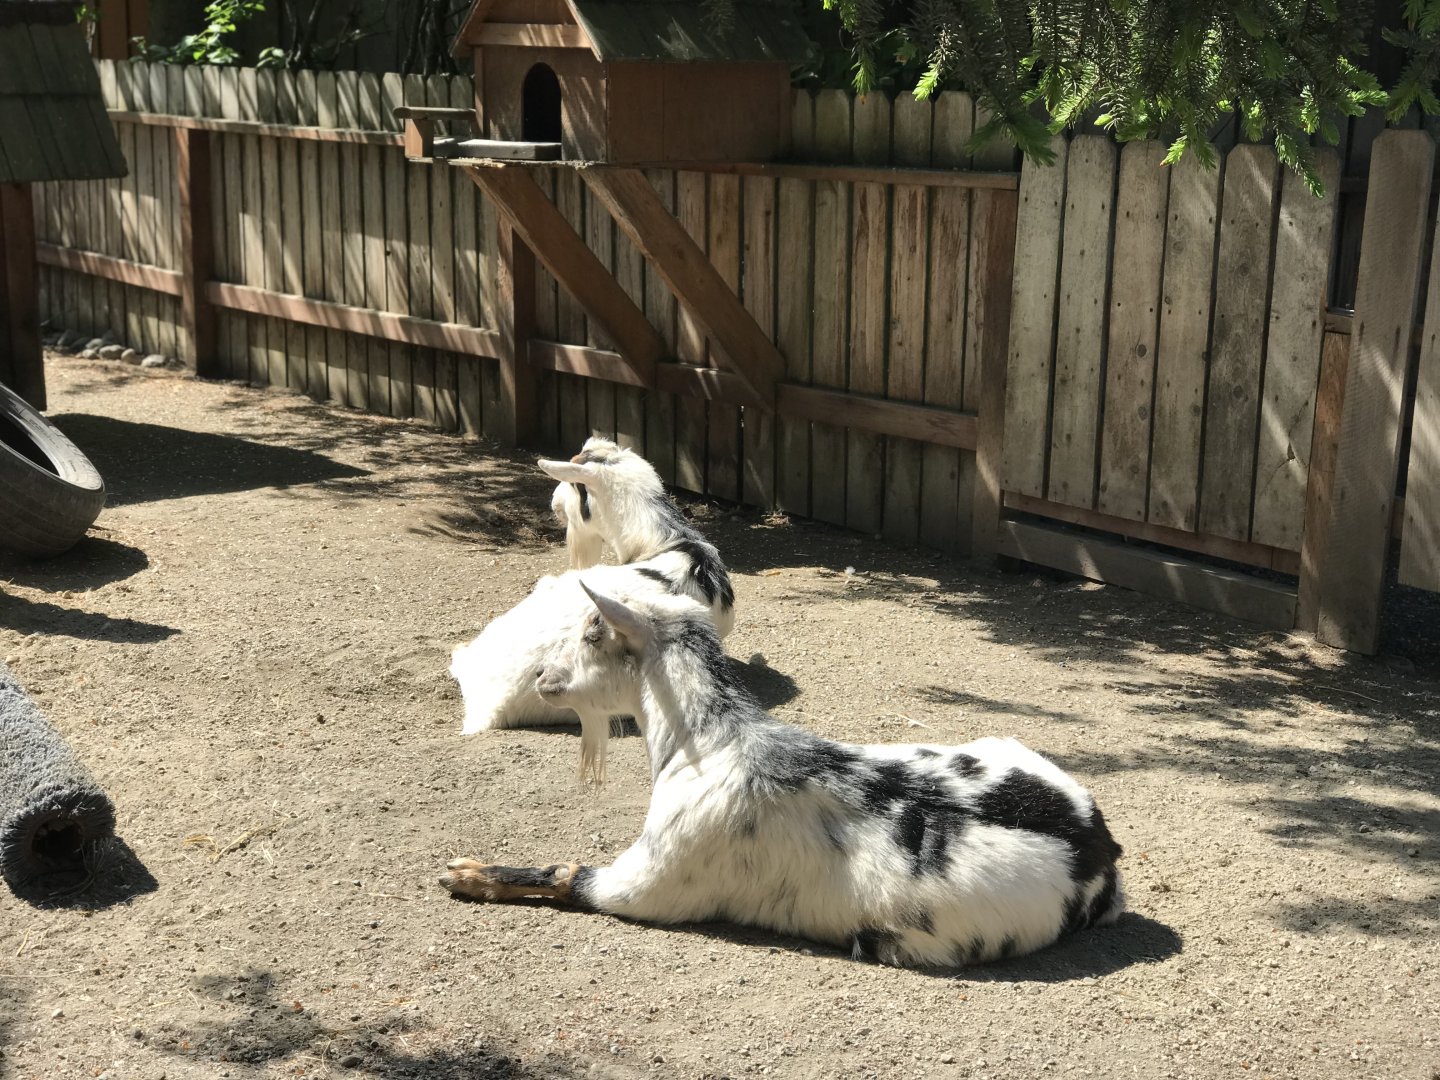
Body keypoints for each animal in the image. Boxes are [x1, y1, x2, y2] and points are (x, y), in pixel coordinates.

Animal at [441, 585, 1127, 968]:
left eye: (592, 630)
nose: (542, 678)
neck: (709, 744)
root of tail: (1101, 849)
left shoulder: (648, 883)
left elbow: (564, 875)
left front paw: (466, 874)